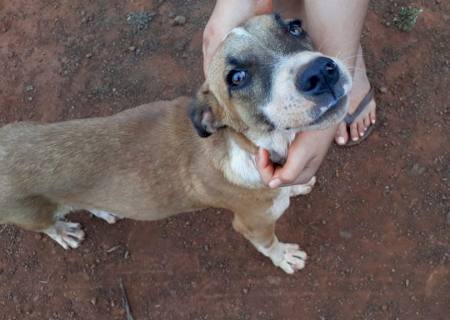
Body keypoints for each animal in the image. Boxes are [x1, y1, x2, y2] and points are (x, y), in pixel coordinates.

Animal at [0, 15, 352, 274]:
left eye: (294, 27)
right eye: (236, 77)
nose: (321, 72)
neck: (248, 144)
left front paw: (297, 185)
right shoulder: (253, 224)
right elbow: (269, 244)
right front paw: (284, 257)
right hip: (30, 214)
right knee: (47, 225)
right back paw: (64, 232)